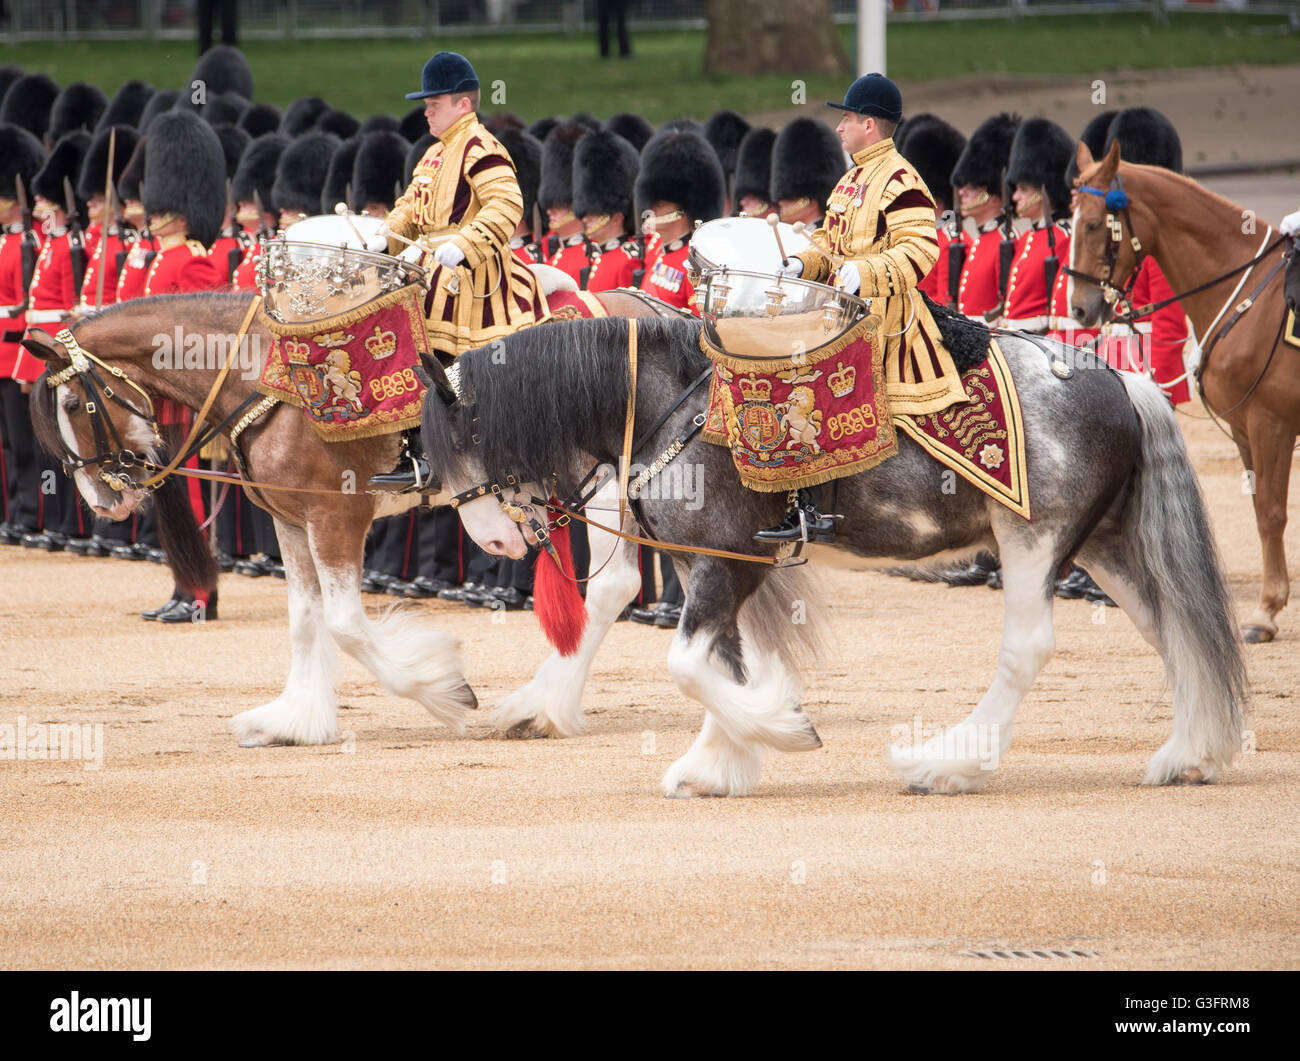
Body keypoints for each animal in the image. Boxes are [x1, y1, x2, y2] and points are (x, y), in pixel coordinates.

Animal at [21, 285, 672, 749]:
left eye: (75, 404)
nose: (104, 501)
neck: (270, 381)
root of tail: (644, 308)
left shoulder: (337, 517)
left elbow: (345, 625)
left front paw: (443, 690)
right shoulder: (290, 519)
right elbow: (304, 619)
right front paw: (296, 719)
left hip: (607, 481)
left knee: (612, 587)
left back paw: (541, 708)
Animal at [419, 311, 1247, 797]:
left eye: (459, 436)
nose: (493, 539)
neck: (677, 406)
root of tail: (1123, 378)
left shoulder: (722, 564)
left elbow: (691, 665)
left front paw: (779, 728)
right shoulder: (719, 565)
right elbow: (723, 662)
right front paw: (721, 758)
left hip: (1031, 539)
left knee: (1028, 648)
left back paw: (948, 760)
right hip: (1106, 545)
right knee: (1174, 629)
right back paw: (1189, 752)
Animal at [1067, 140, 1298, 643]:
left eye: (1093, 224)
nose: (1079, 309)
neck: (1251, 296)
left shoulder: (1271, 423)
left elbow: (1270, 511)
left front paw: (1266, 611)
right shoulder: (1246, 430)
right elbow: (1260, 508)